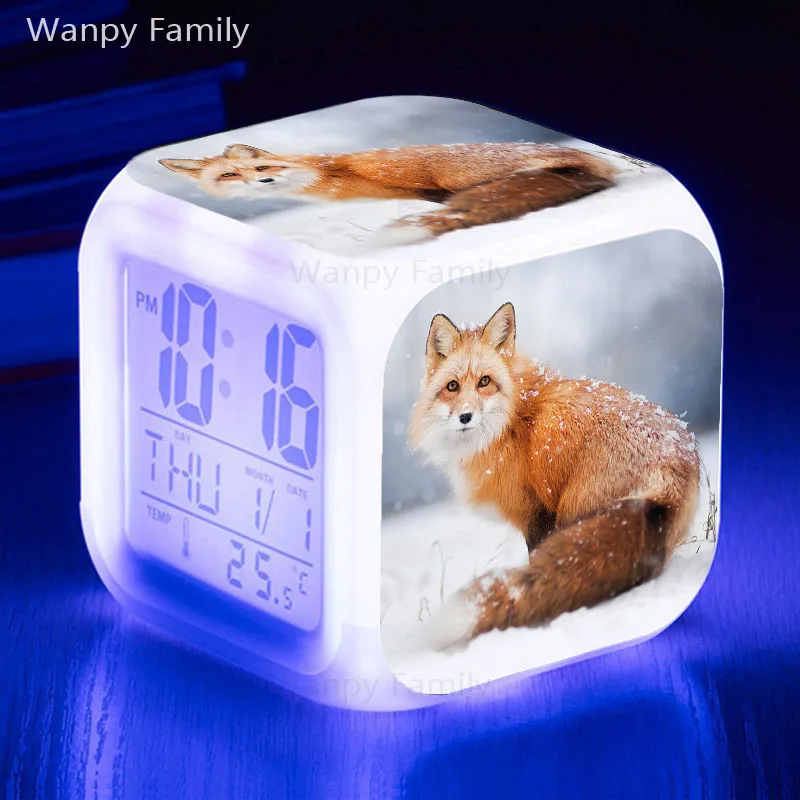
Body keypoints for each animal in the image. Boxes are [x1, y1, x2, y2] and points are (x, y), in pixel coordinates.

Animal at [409, 302, 700, 647]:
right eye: (452, 386)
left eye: (484, 381)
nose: (465, 416)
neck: (511, 420)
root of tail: (670, 470)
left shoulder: (537, 513)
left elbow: (533, 567)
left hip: (573, 511)